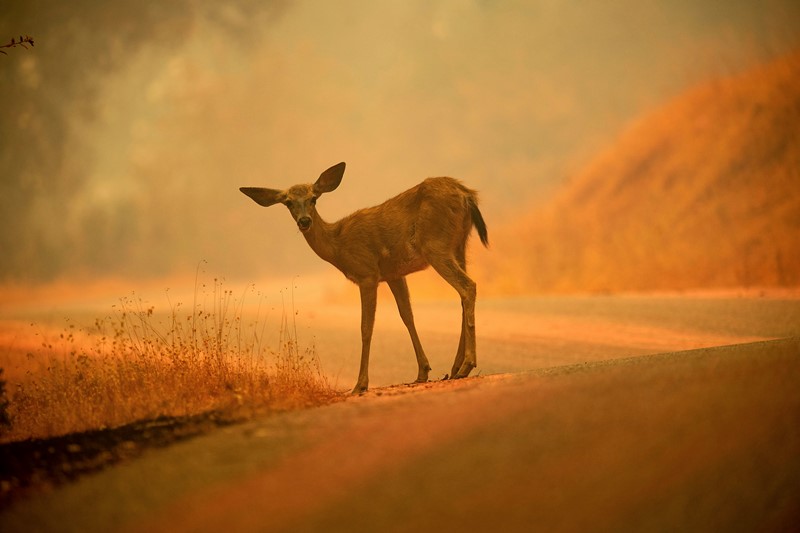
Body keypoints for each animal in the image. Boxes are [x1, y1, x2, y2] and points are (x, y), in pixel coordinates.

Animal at [238, 160, 488, 392]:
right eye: (288, 202)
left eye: (313, 198)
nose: (304, 221)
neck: (338, 245)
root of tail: (467, 194)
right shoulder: (393, 273)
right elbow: (407, 316)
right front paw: (422, 371)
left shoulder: (367, 273)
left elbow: (366, 328)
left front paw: (360, 384)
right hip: (459, 244)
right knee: (463, 294)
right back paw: (455, 368)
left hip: (435, 245)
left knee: (468, 286)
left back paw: (466, 365)